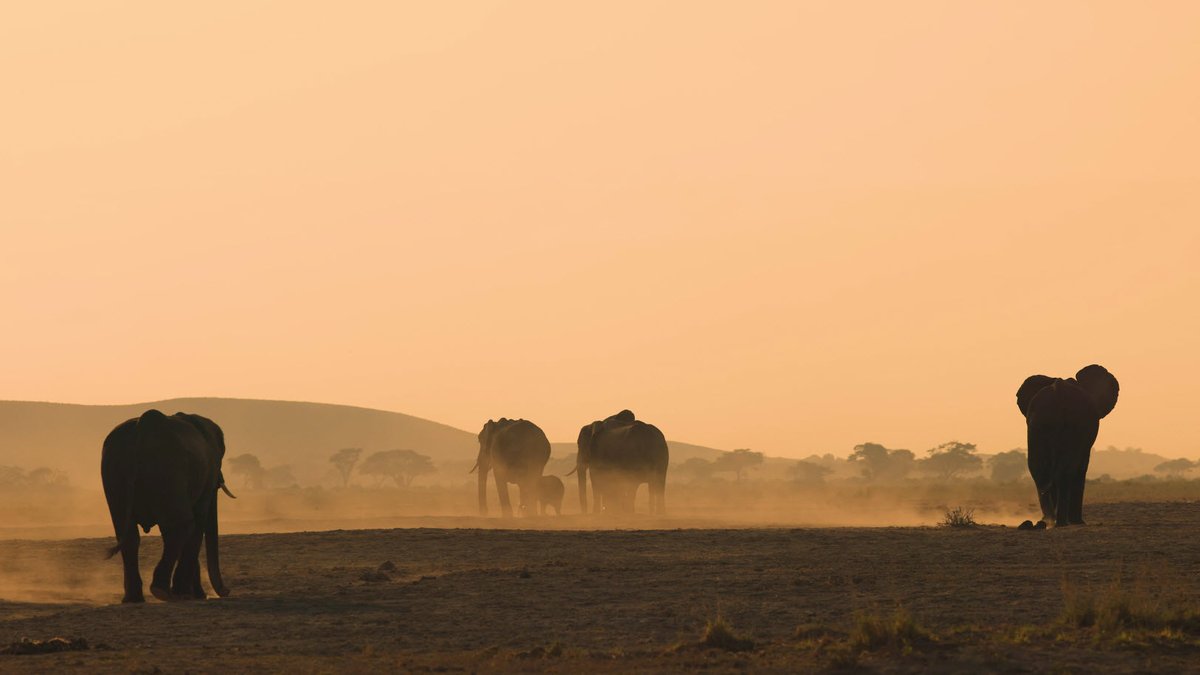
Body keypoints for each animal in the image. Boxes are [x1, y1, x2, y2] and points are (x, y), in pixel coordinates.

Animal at [100, 408, 234, 600]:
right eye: (221, 456)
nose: (226, 591)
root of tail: (144, 425)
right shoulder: (207, 473)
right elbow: (198, 521)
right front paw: (190, 595)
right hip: (169, 468)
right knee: (183, 526)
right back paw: (164, 592)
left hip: (115, 469)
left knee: (129, 535)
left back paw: (134, 599)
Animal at [1017, 362, 1118, 526]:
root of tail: (1059, 391)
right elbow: (1081, 467)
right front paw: (1079, 522)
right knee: (1065, 471)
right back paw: (1060, 522)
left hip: (1039, 424)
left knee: (1039, 470)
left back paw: (1050, 521)